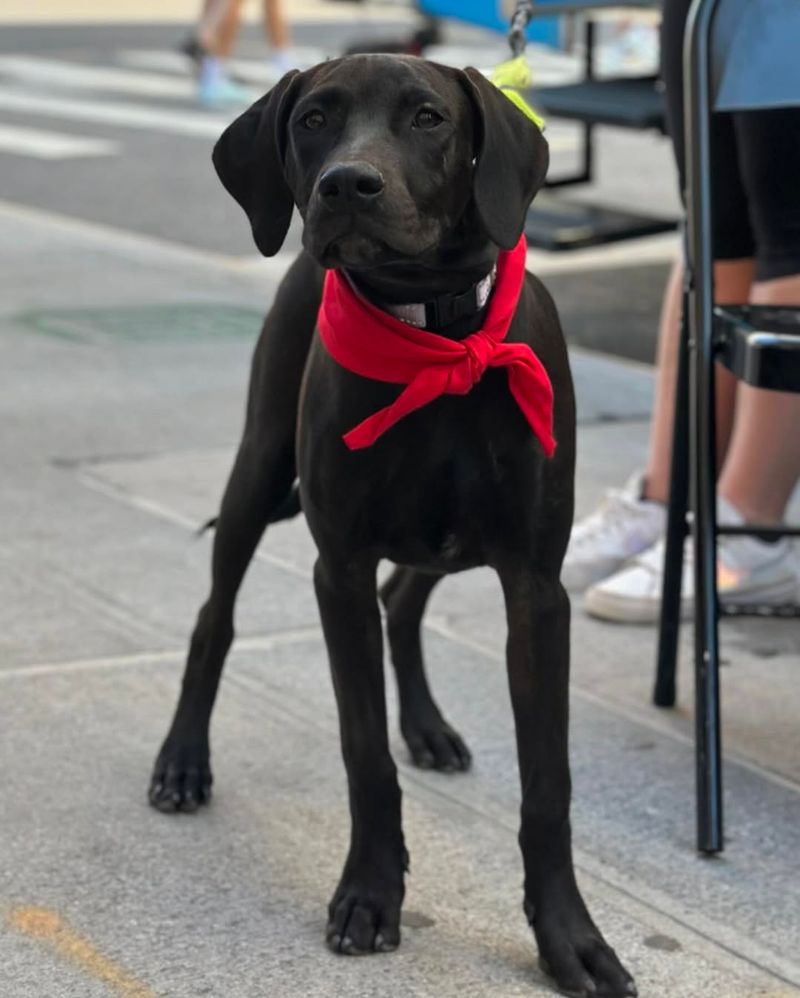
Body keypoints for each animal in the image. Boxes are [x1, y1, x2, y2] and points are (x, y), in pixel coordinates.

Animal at [150, 56, 636, 998]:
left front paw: (570, 938)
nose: (347, 185)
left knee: (404, 599)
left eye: (428, 117)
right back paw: (183, 760)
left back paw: (429, 727)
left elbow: (547, 784)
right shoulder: (336, 569)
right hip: (258, 467)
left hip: (449, 539)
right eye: (312, 118)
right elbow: (363, 753)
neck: (436, 336)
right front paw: (371, 895)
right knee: (214, 618)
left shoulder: (536, 586)